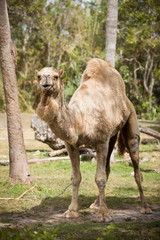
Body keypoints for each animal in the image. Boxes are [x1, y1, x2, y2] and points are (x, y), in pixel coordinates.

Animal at [35, 57, 152, 221]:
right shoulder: (71, 145)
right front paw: (72, 211)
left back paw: (145, 207)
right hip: (112, 137)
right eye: (38, 76)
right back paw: (96, 204)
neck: (80, 120)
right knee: (108, 167)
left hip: (131, 120)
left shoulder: (101, 141)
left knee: (136, 168)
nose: (46, 79)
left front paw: (103, 215)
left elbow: (100, 178)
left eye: (56, 76)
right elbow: (76, 177)